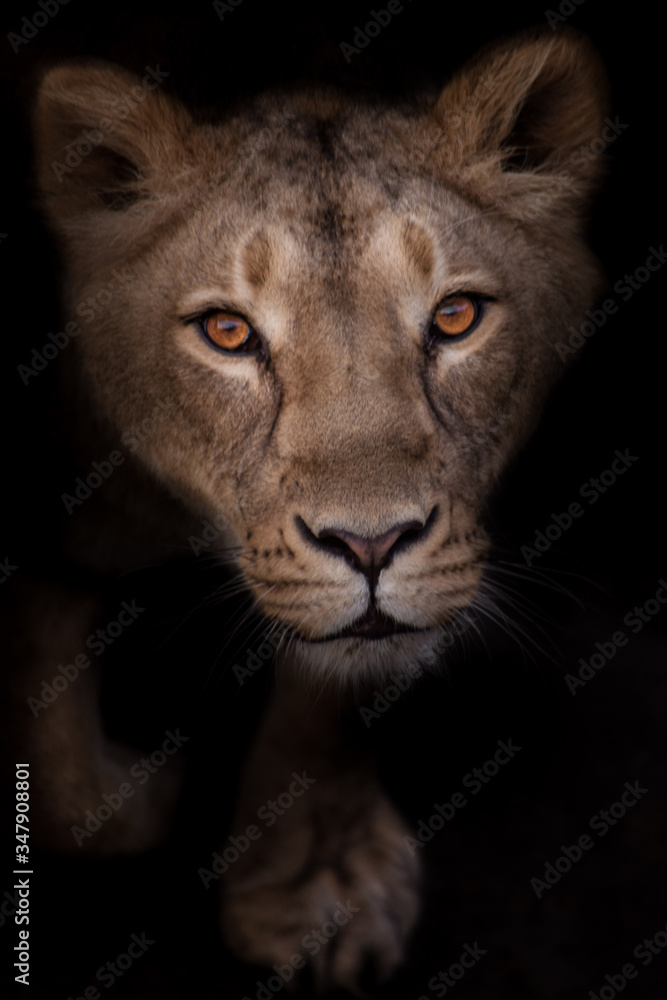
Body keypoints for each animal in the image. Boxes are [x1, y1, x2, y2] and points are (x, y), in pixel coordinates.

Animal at [5, 27, 607, 994]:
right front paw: (149, 793)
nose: (372, 544)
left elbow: (335, 692)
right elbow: (58, 770)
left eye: (456, 315)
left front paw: (314, 883)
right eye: (227, 332)